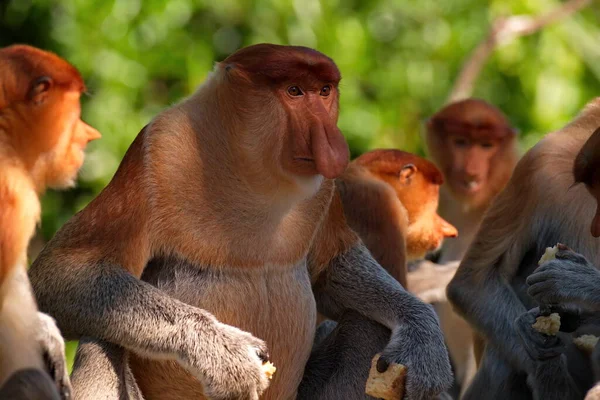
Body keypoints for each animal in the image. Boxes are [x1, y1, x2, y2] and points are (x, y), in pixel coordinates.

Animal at [27, 43, 450, 400]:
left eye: (325, 90)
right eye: (294, 91)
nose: (332, 143)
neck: (254, 174)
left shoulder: (325, 190)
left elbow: (333, 266)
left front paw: (424, 340)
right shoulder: (156, 154)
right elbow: (65, 271)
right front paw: (224, 352)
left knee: (369, 326)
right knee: (102, 336)